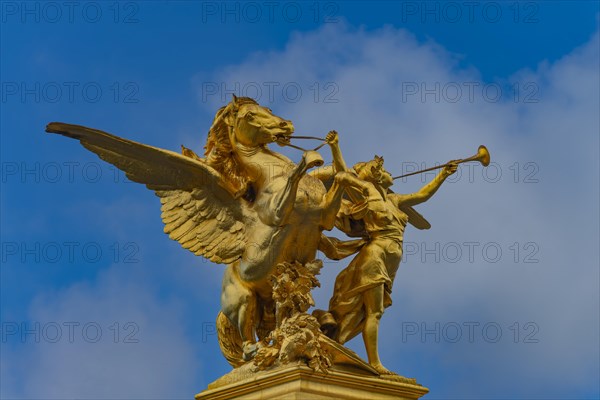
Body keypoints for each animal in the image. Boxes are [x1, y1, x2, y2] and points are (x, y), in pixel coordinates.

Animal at [45, 96, 366, 366]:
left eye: (268, 109)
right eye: (251, 115)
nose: (286, 125)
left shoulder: (323, 216)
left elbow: (337, 182)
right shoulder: (277, 213)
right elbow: (289, 191)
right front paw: (309, 160)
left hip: (268, 302)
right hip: (243, 300)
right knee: (247, 337)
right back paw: (259, 350)